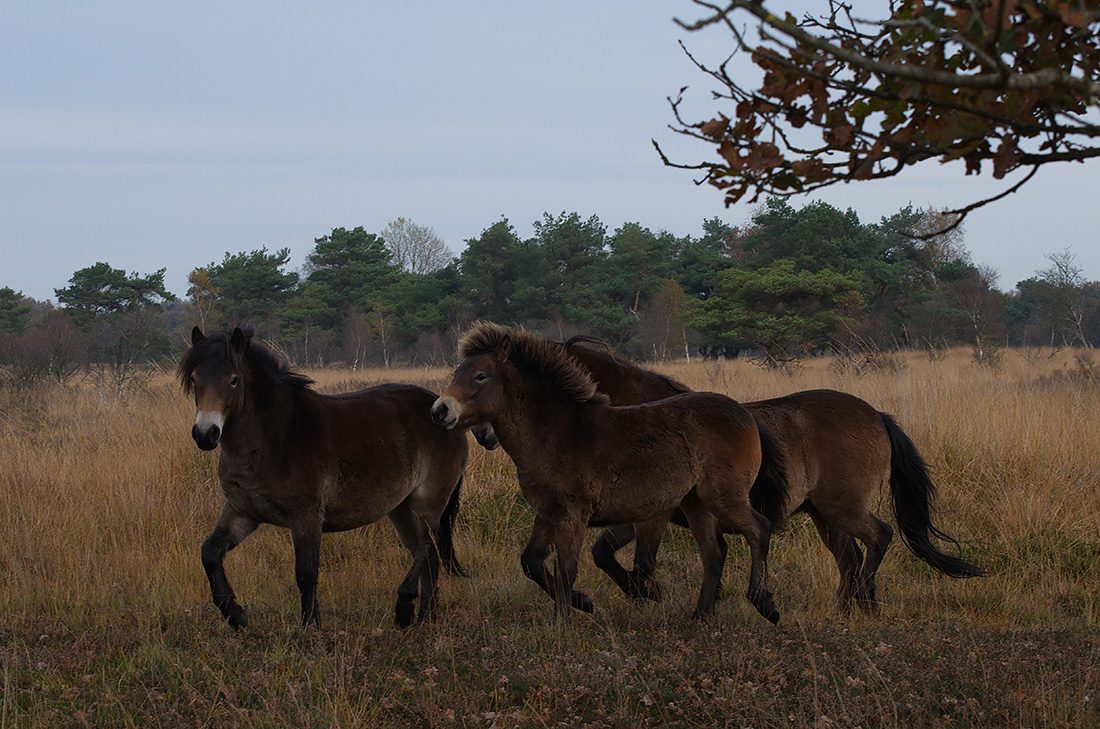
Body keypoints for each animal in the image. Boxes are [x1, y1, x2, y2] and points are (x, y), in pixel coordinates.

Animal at [177, 327, 468, 628]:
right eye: (195, 379)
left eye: (234, 380)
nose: (205, 434)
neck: (277, 437)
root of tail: (443, 411)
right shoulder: (242, 512)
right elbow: (210, 553)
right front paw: (235, 614)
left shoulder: (306, 517)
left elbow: (306, 573)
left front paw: (310, 626)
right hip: (401, 508)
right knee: (429, 556)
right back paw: (426, 617)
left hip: (428, 503)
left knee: (427, 546)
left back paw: (405, 608)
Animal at [429, 323, 783, 624]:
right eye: (457, 373)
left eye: (480, 375)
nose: (440, 410)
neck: (556, 433)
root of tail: (745, 414)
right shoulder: (548, 513)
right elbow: (532, 562)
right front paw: (583, 603)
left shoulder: (577, 514)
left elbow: (569, 569)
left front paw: (562, 624)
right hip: (696, 503)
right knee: (714, 552)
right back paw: (701, 616)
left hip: (722, 497)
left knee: (759, 528)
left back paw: (764, 603)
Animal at [554, 338, 985, 611]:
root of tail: (876, 415)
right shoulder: (634, 515)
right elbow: (603, 552)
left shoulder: (652, 515)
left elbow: (638, 560)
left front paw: (646, 594)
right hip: (824, 516)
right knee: (850, 556)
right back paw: (852, 608)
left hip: (842, 508)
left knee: (879, 537)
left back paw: (862, 599)